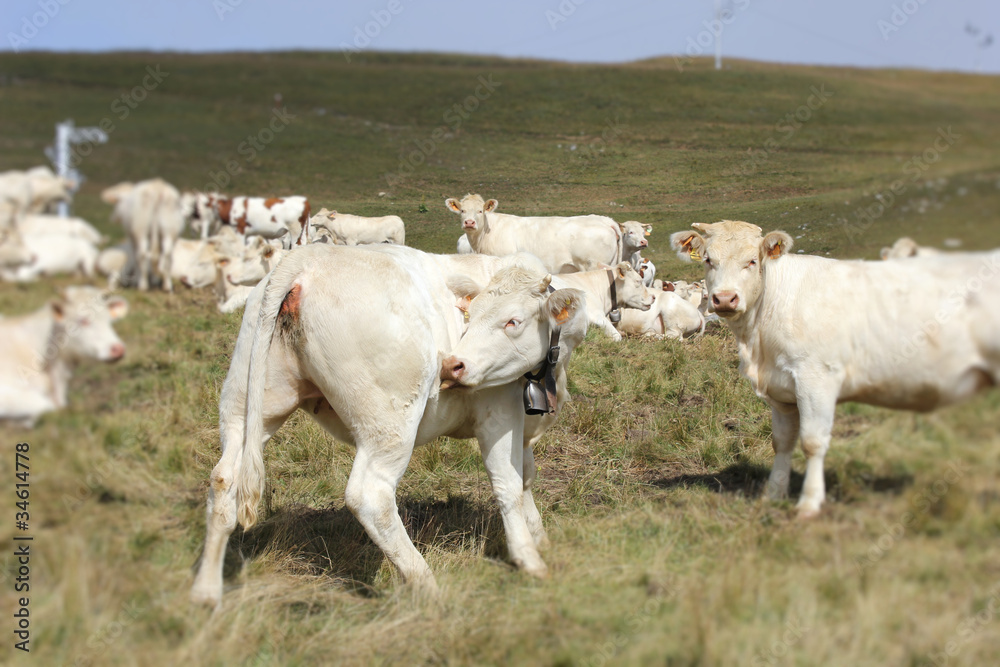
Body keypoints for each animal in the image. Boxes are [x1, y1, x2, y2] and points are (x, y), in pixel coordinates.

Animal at [191, 243, 588, 608]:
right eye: (470, 316)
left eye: (512, 321)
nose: (454, 365)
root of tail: (309, 256)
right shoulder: (499, 411)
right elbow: (508, 483)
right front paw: (529, 559)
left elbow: (527, 477)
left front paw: (540, 537)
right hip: (389, 425)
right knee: (370, 496)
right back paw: (427, 586)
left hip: (246, 405)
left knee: (224, 479)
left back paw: (207, 592)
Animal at [672, 222, 1000, 520]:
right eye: (708, 260)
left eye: (752, 261)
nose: (725, 299)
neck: (758, 343)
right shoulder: (781, 390)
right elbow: (782, 442)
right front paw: (773, 495)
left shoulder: (816, 379)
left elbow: (813, 442)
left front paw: (809, 503)